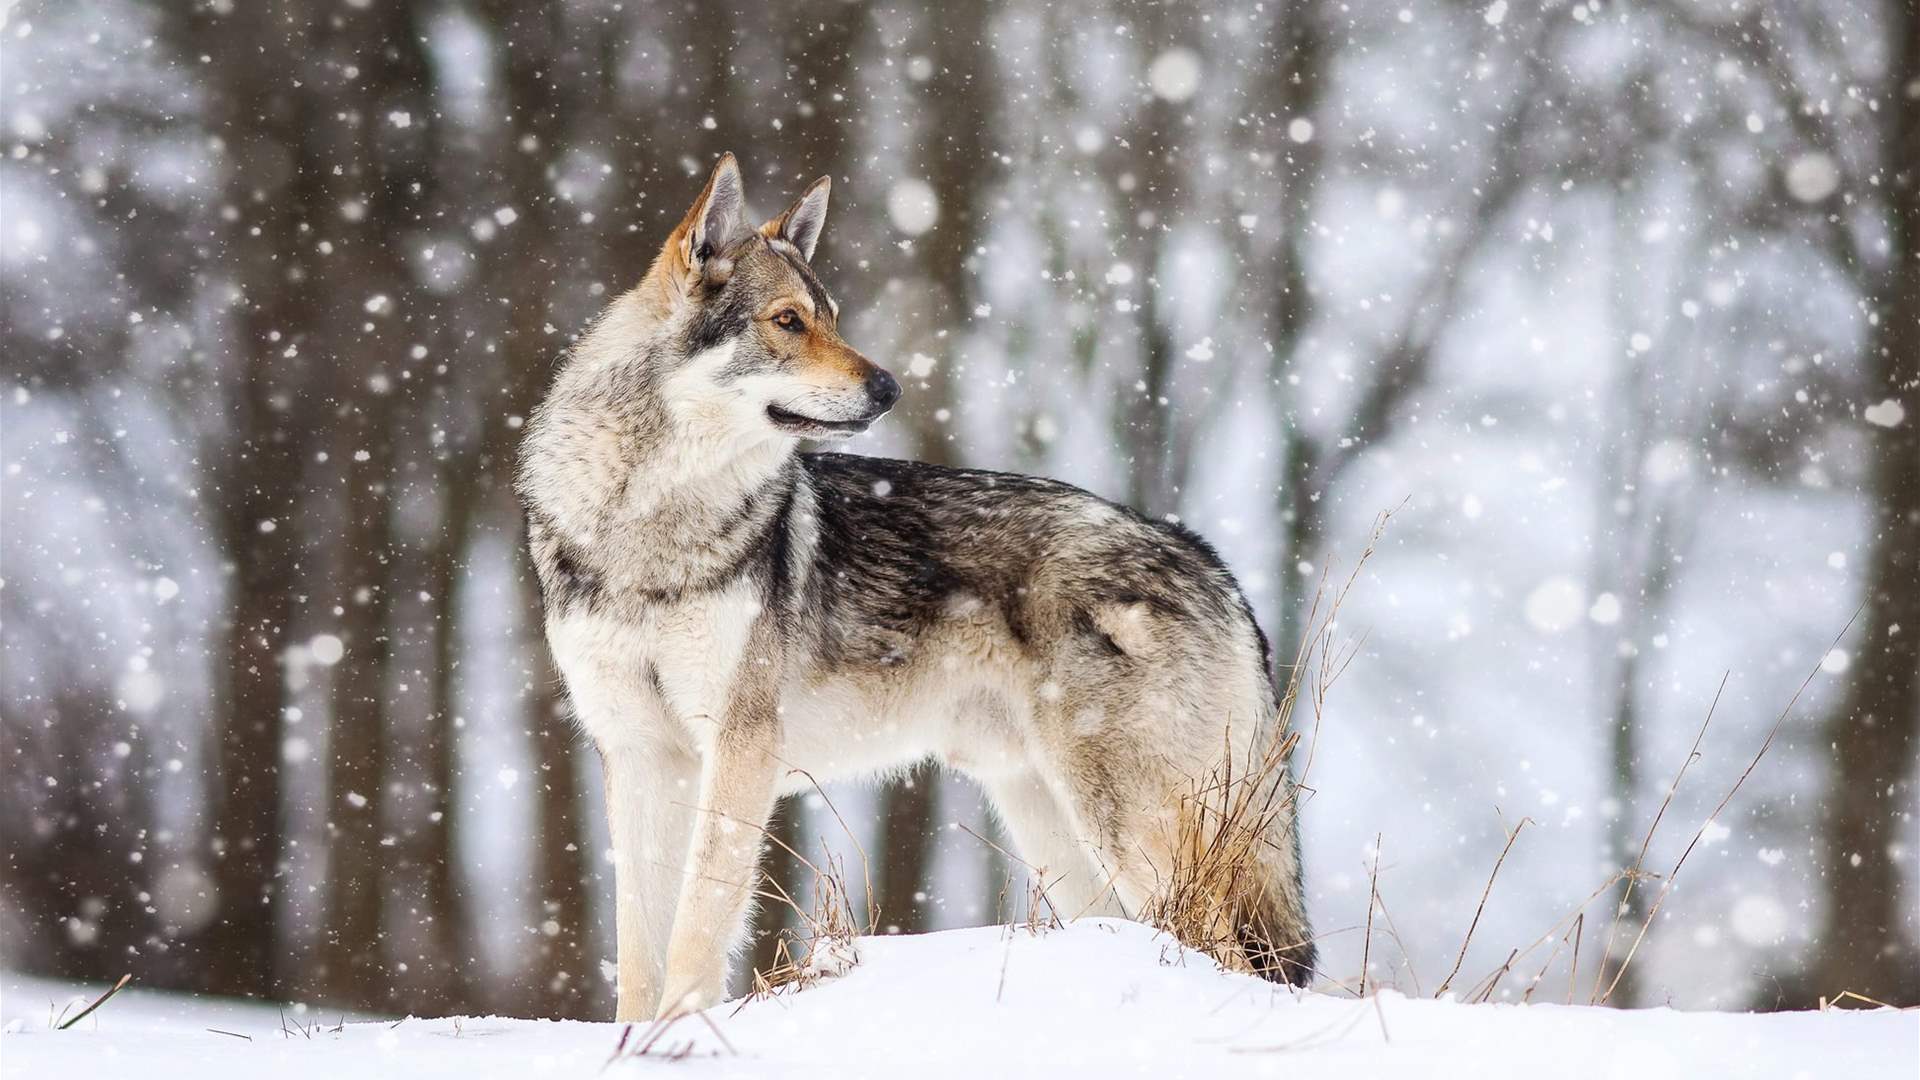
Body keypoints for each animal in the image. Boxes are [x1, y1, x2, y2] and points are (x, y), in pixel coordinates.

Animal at [516, 154, 1314, 1021]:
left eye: (832, 317)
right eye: (788, 321)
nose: (890, 387)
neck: (645, 523)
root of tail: (1208, 558)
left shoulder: (738, 747)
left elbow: (698, 927)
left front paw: (683, 1032)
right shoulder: (637, 754)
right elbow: (639, 948)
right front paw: (637, 1036)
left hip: (1135, 829)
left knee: (1229, 953)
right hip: (1052, 824)